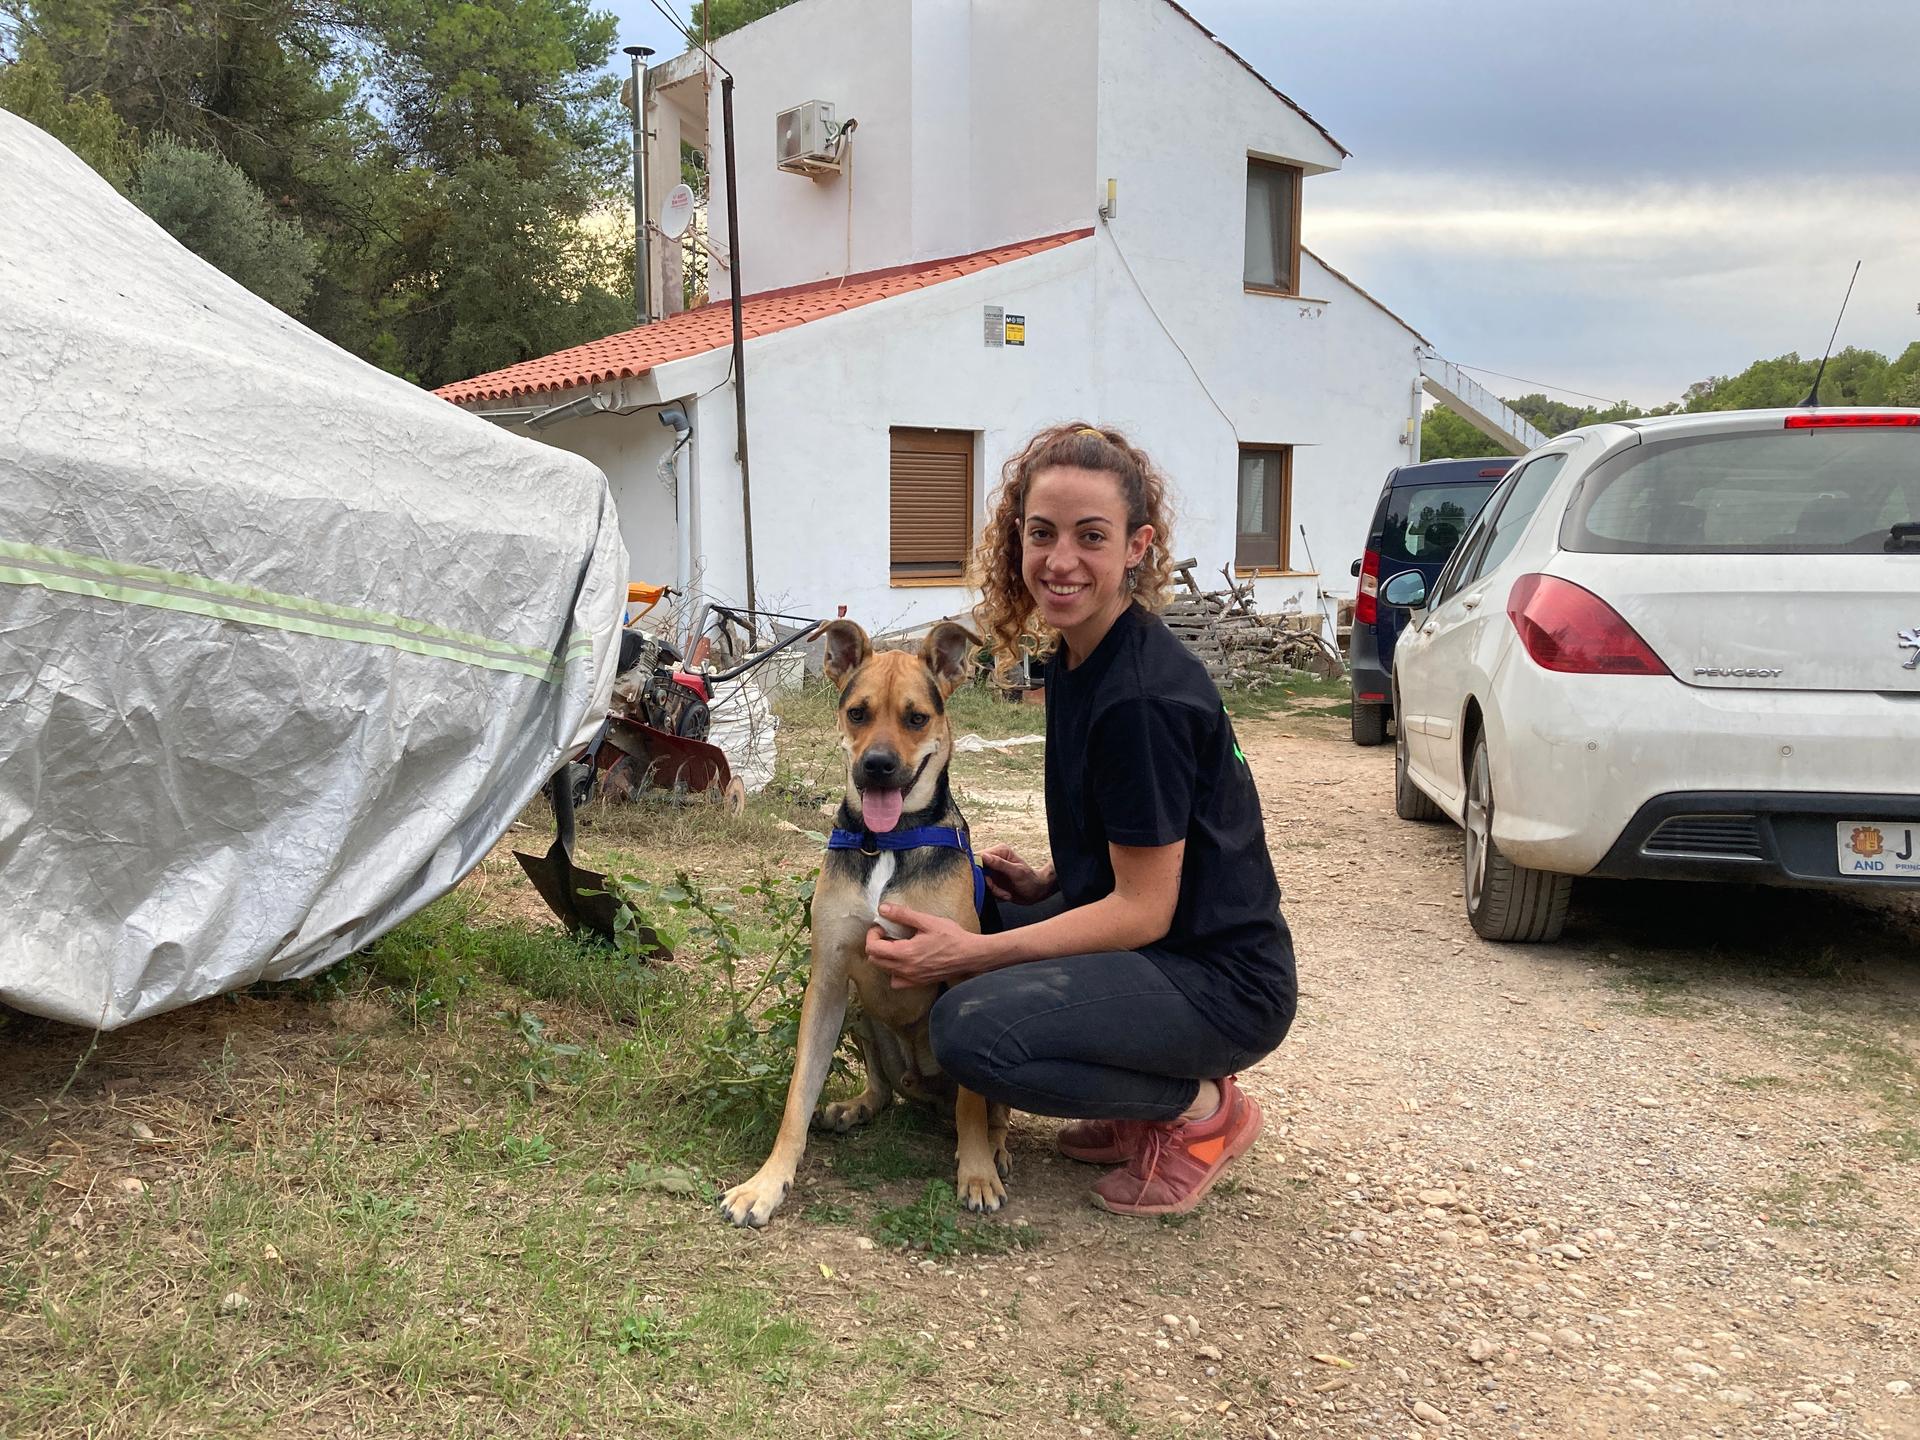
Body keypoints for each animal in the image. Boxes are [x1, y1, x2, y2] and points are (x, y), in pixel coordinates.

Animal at [721, 622, 1013, 1228]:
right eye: (857, 713)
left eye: (916, 718)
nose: (876, 764)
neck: (888, 842)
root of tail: (923, 1088)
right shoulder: (829, 979)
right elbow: (798, 1094)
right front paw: (767, 1183)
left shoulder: (959, 968)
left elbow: (974, 1106)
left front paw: (976, 1172)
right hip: (860, 1010)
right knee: (884, 1089)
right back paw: (854, 1107)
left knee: (986, 1109)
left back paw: (993, 1149)